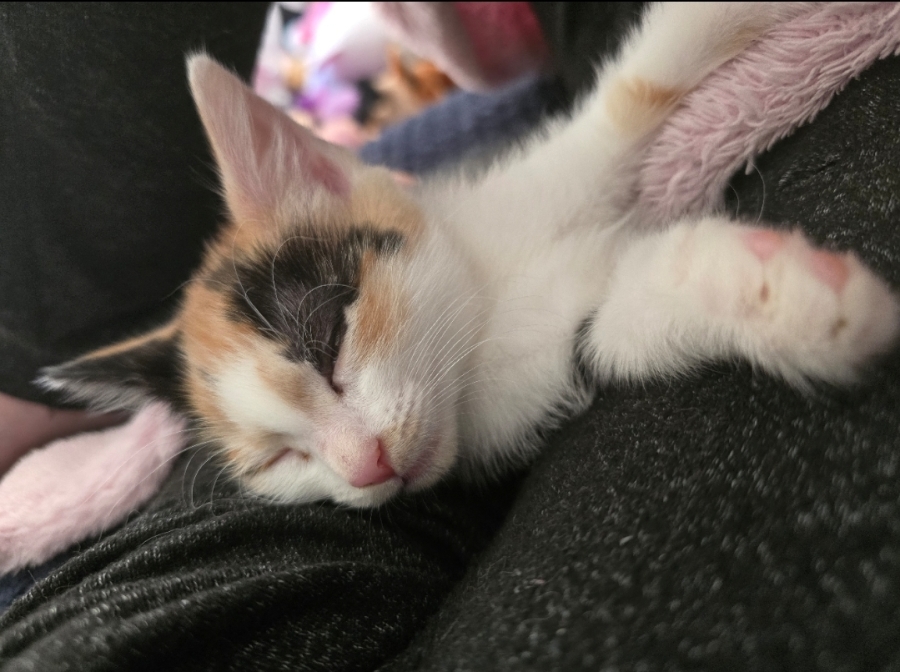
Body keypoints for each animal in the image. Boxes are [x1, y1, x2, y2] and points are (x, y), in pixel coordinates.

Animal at [40, 3, 899, 508]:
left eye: (330, 344)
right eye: (280, 460)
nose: (366, 468)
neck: (484, 318)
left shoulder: (551, 178)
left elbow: (646, 78)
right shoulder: (559, 361)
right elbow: (625, 327)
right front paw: (791, 298)